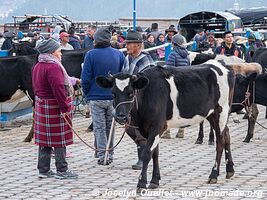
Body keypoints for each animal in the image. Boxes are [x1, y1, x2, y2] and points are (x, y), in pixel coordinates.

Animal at [97, 60, 236, 191]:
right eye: (113, 94)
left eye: (131, 93)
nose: (120, 117)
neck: (147, 94)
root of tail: (223, 66)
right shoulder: (149, 129)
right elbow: (155, 154)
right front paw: (154, 180)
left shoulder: (156, 126)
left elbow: (147, 153)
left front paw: (141, 183)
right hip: (211, 114)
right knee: (227, 135)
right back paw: (229, 170)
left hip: (221, 111)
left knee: (220, 142)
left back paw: (213, 175)